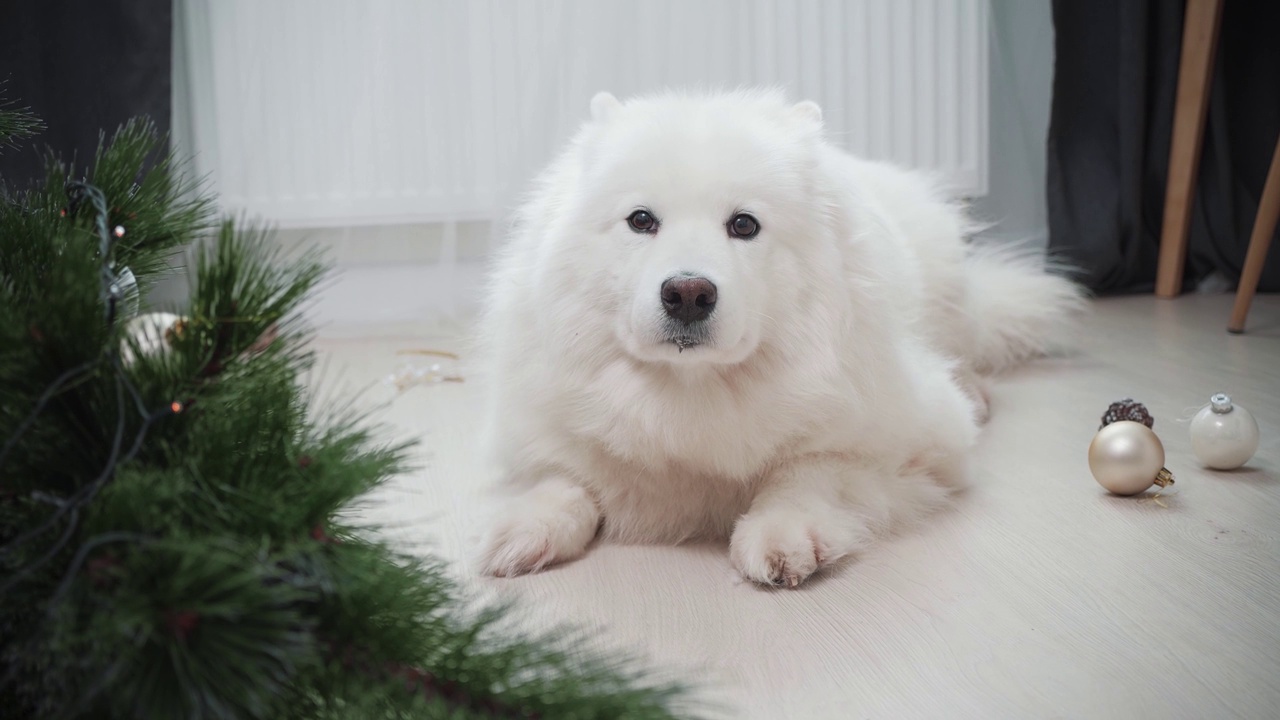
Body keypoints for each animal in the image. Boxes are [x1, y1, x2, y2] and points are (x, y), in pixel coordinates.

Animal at [476, 88, 1085, 584]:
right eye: (641, 220)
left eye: (744, 225)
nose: (688, 293)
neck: (694, 394)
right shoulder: (539, 428)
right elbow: (562, 475)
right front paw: (526, 524)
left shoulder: (919, 446)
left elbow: (809, 467)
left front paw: (782, 531)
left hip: (946, 287)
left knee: (966, 348)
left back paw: (977, 392)